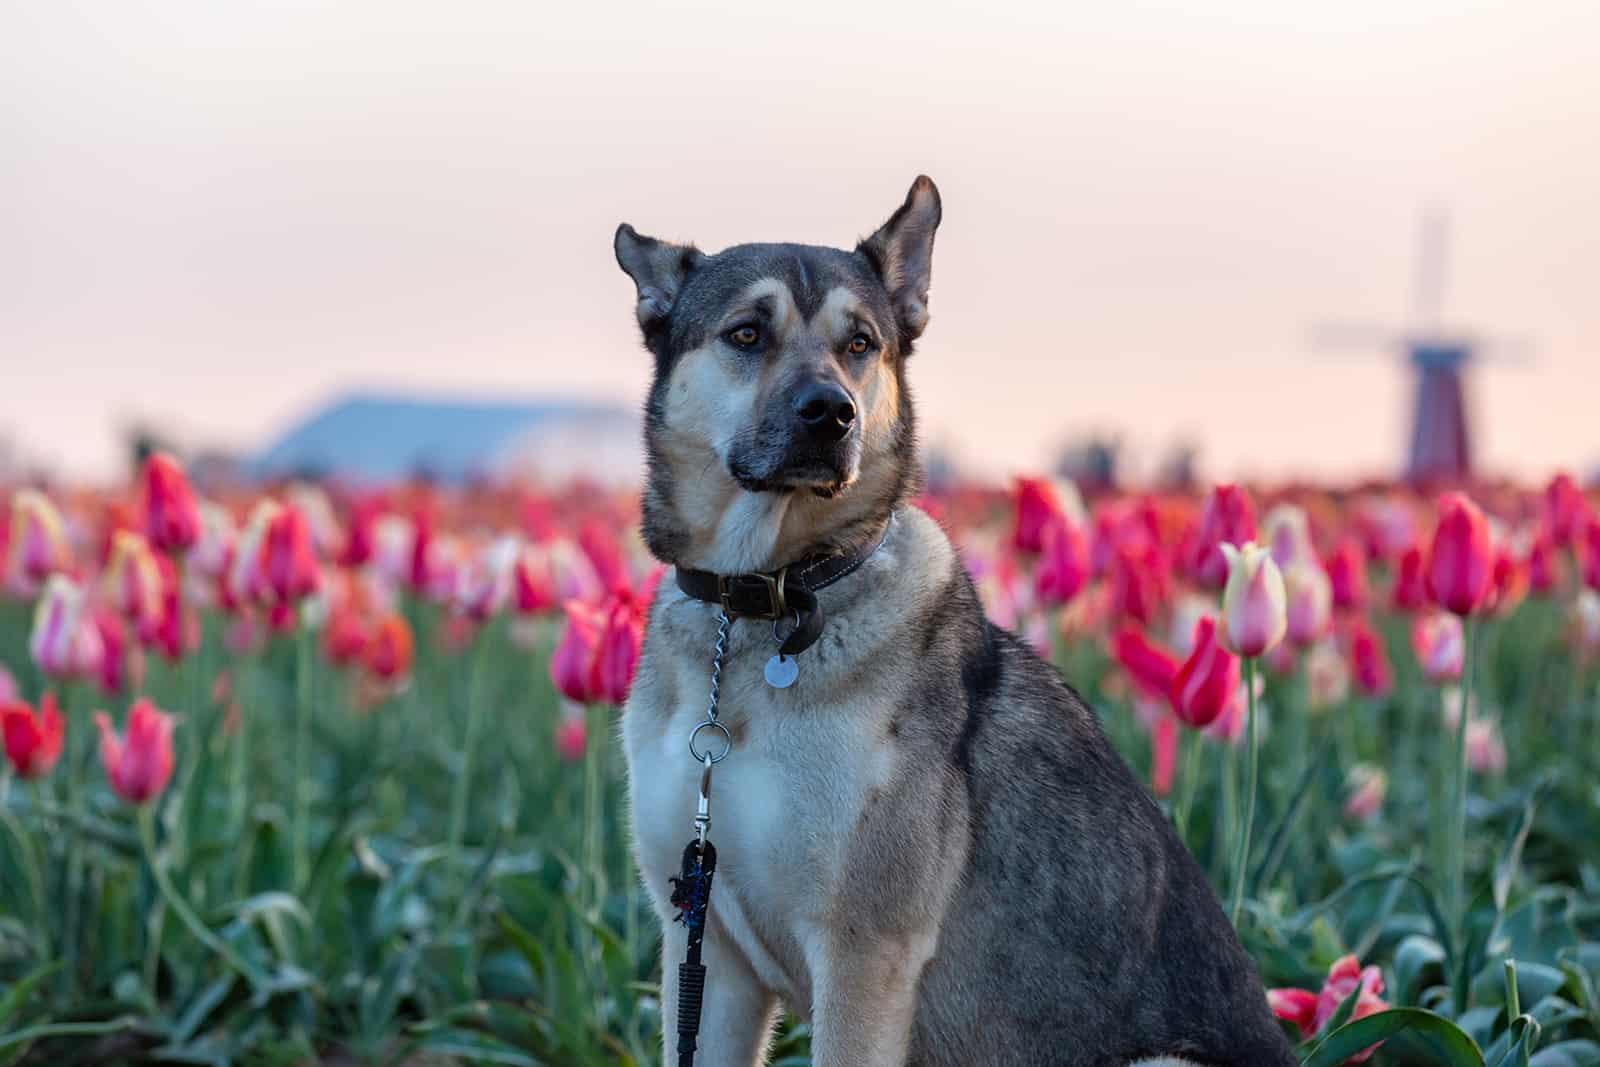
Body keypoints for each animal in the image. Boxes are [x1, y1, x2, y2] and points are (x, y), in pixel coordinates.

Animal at [611, 179, 1299, 1062]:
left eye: (861, 342)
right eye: (747, 333)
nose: (830, 413)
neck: (763, 600)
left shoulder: (863, 952)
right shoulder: (704, 945)